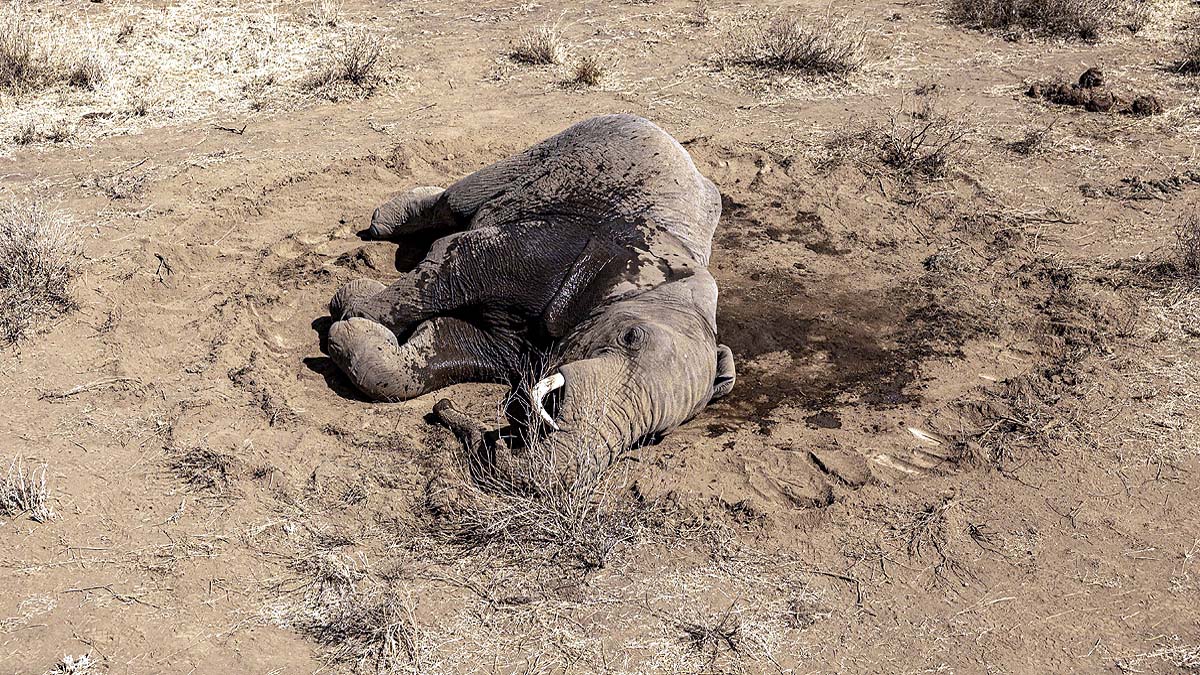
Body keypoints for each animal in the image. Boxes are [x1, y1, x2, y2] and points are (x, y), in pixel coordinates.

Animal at [324, 114, 735, 490]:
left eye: (655, 437)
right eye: (630, 337)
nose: (444, 409)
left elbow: (448, 344)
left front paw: (356, 331)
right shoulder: (566, 248)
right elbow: (456, 257)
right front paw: (350, 305)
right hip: (558, 146)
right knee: (454, 203)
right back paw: (384, 220)